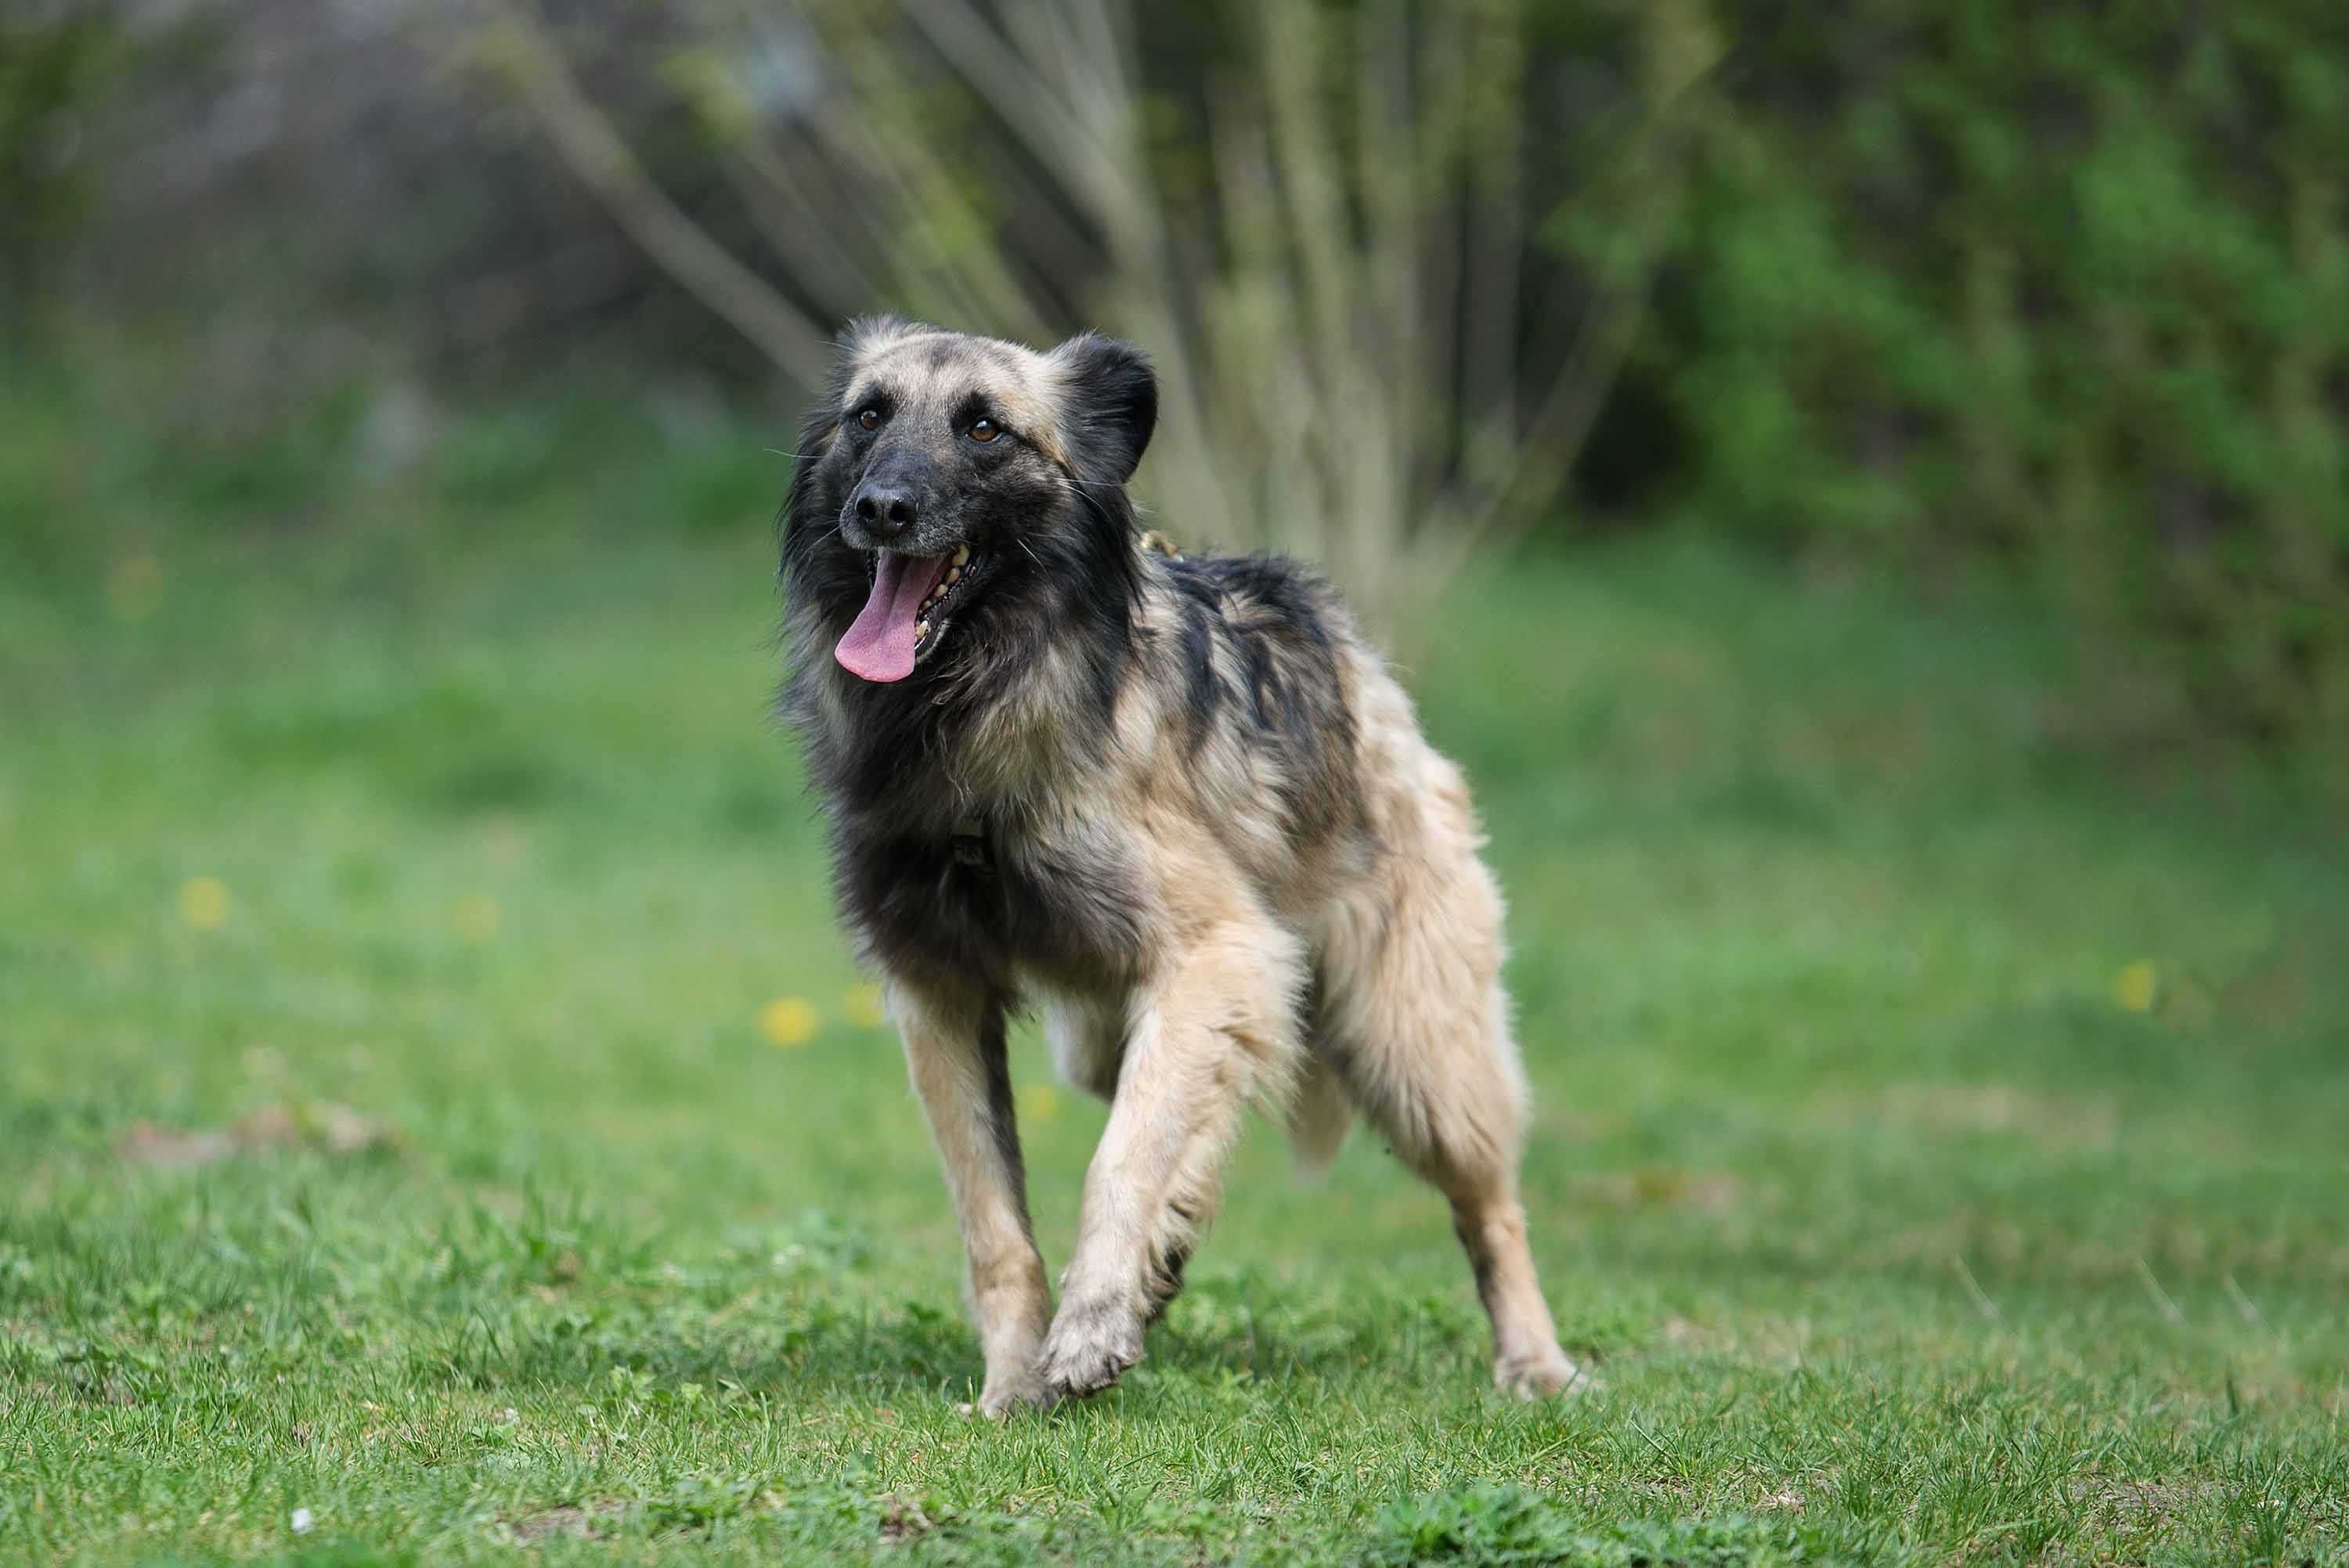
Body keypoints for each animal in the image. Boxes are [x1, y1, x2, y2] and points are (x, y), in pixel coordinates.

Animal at [775, 314, 1579, 1408]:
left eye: (984, 427)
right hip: (1107, 1038)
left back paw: (1535, 1358)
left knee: (1489, 1203)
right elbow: (995, 1221)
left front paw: (1088, 1326)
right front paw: (1013, 1380)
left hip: (1414, 1047)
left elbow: (1120, 1160)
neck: (976, 712)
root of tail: (1361, 662)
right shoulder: (938, 992)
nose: (881, 509)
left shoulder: (1218, 955)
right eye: (869, 416)